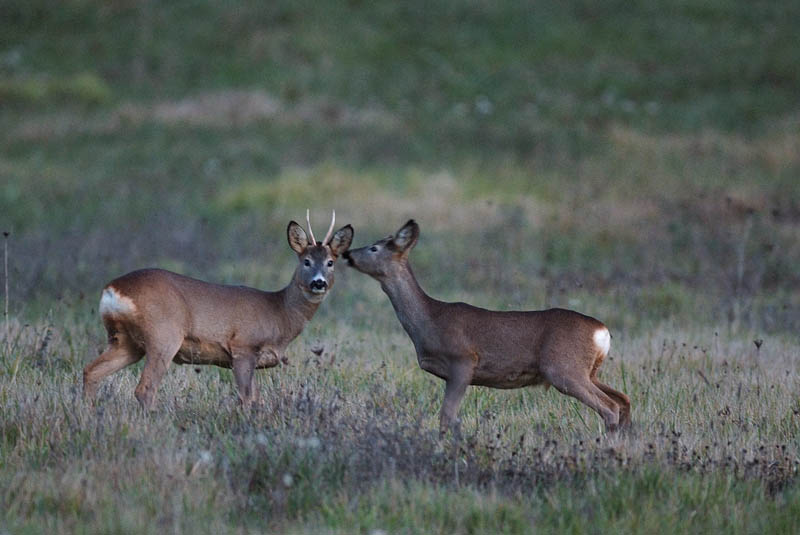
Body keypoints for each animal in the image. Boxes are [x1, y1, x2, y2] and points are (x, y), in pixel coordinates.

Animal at [83, 211, 354, 408]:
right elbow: (247, 399)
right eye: (306, 261)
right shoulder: (243, 347)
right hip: (163, 335)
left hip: (126, 342)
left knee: (91, 371)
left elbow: (256, 399)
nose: (318, 282)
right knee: (144, 389)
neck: (279, 313)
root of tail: (113, 289)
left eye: (330, 262)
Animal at [344, 220, 632, 434]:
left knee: (610, 407)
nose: (347, 254)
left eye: (374, 248)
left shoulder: (462, 361)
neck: (429, 319)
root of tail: (601, 331)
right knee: (624, 400)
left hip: (563, 368)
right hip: (589, 371)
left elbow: (447, 416)